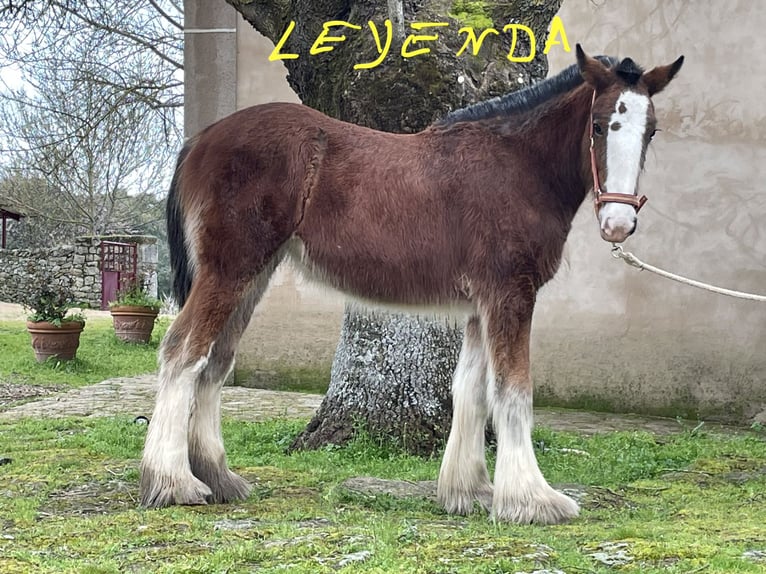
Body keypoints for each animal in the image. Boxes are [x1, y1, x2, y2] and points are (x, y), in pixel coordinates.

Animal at [140, 45, 683, 524]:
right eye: (599, 125)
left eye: (651, 130)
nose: (618, 224)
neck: (517, 166)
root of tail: (201, 139)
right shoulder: (511, 294)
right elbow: (513, 390)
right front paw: (532, 500)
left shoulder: (480, 304)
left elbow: (470, 389)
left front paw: (469, 492)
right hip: (230, 271)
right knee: (183, 351)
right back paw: (173, 483)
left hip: (253, 275)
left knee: (215, 362)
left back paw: (218, 478)